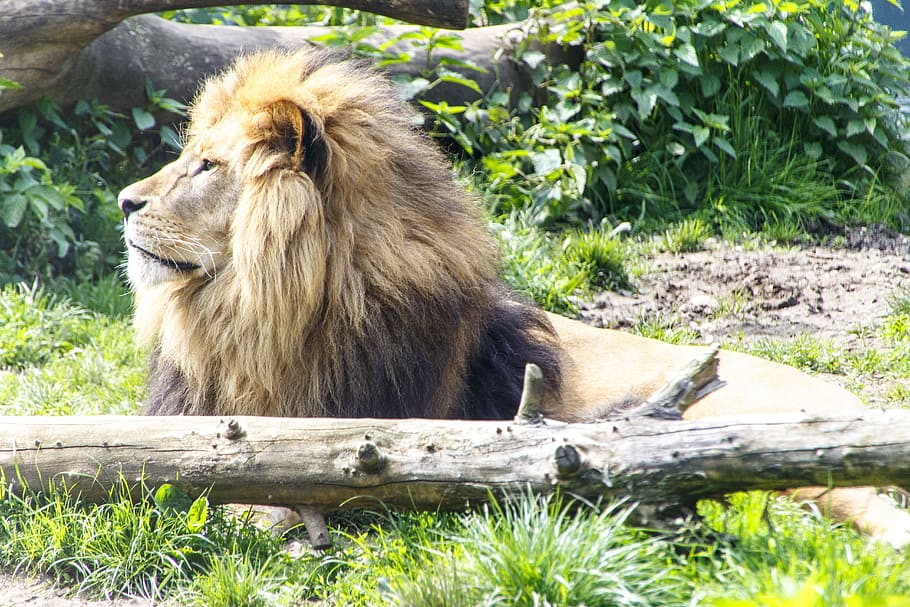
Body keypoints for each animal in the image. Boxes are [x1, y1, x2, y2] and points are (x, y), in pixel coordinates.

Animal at [117, 48, 910, 548]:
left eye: (206, 166)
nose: (124, 202)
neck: (248, 320)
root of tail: (852, 402)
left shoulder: (363, 448)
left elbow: (261, 494)